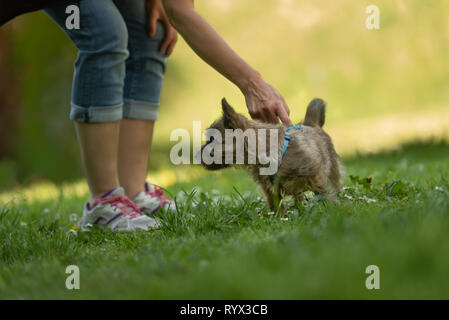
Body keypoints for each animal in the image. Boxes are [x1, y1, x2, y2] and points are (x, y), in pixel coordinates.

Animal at [200, 99, 344, 211]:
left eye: (212, 140)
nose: (197, 156)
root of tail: (311, 124)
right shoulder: (270, 191)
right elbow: (276, 208)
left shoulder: (315, 176)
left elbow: (324, 194)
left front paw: (329, 210)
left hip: (333, 172)